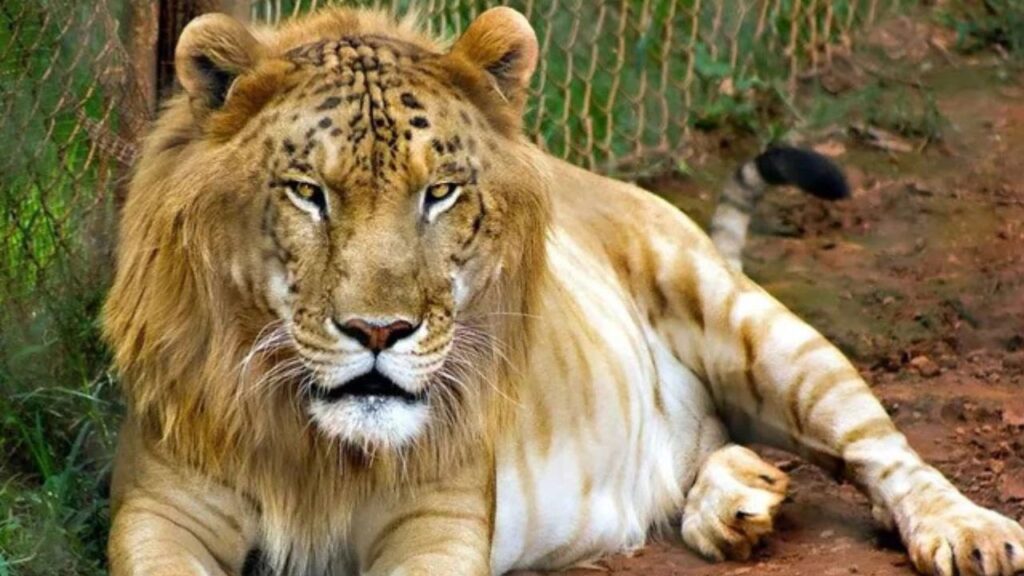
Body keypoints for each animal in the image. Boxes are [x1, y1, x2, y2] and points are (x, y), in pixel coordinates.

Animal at [103, 6, 1024, 576]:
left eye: (440, 193)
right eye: (307, 192)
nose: (380, 332)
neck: (316, 447)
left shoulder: (438, 521)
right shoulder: (160, 514)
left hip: (752, 324)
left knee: (884, 451)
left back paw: (968, 534)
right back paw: (737, 503)